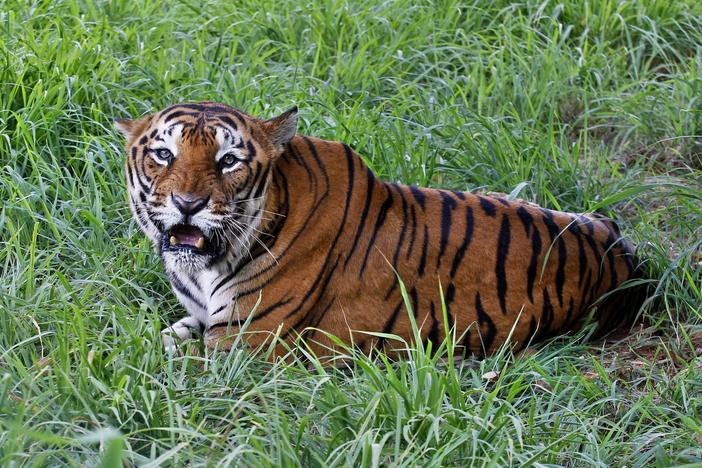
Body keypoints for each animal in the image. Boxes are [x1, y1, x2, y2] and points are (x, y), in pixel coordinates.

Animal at [117, 101, 648, 358]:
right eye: (163, 153)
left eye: (228, 161)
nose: (188, 204)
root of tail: (627, 250)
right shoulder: (203, 322)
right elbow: (152, 339)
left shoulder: (242, 345)